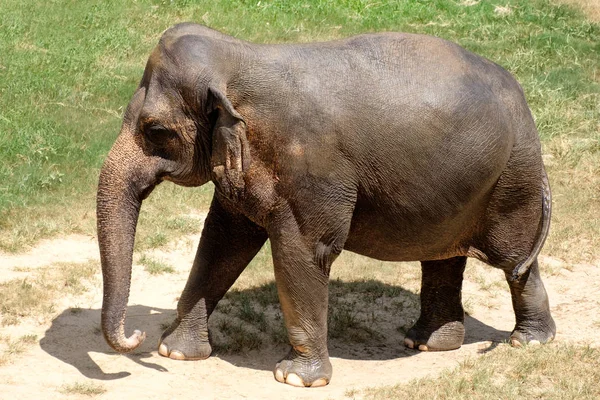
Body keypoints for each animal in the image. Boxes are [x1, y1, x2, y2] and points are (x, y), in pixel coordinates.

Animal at [96, 22, 556, 388]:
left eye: (156, 130)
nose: (136, 339)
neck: (241, 56)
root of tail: (522, 99)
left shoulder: (313, 170)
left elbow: (303, 251)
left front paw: (295, 379)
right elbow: (221, 242)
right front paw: (175, 353)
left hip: (512, 179)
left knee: (514, 259)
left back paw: (529, 341)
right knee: (443, 258)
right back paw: (426, 343)